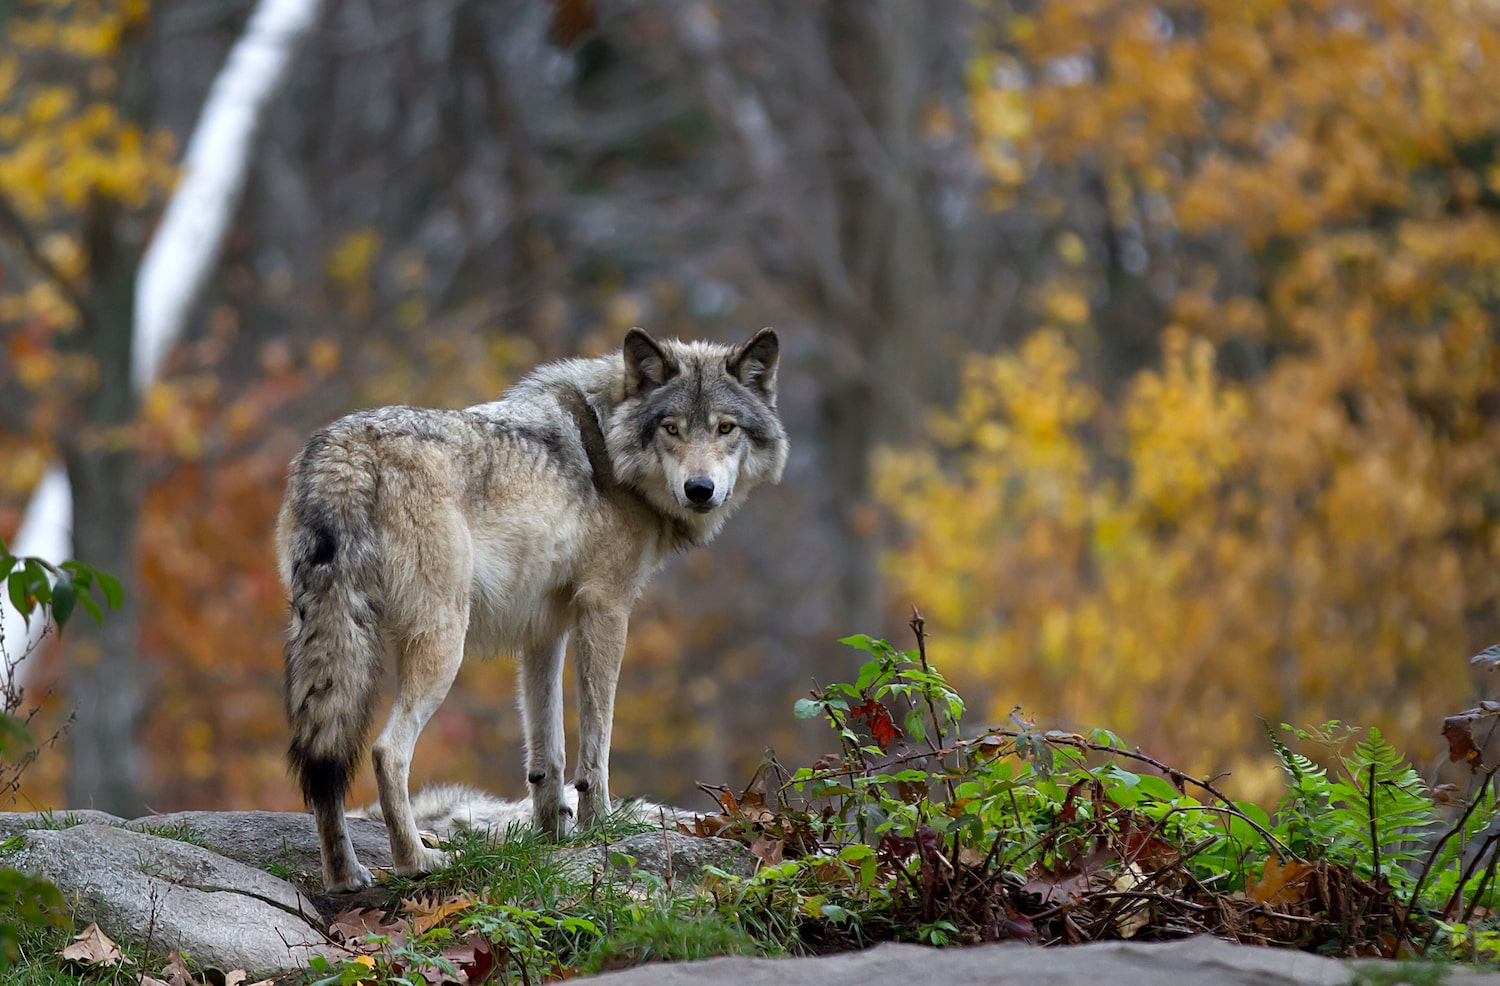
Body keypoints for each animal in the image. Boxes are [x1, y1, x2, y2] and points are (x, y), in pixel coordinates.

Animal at [283, 327, 798, 888]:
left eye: (726, 428)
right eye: (671, 428)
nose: (699, 489)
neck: (608, 447)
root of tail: (347, 450)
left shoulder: (543, 630)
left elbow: (547, 750)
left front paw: (553, 835)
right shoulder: (607, 609)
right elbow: (596, 741)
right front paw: (600, 826)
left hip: (331, 642)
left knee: (325, 761)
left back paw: (345, 875)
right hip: (442, 645)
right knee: (386, 751)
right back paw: (416, 861)